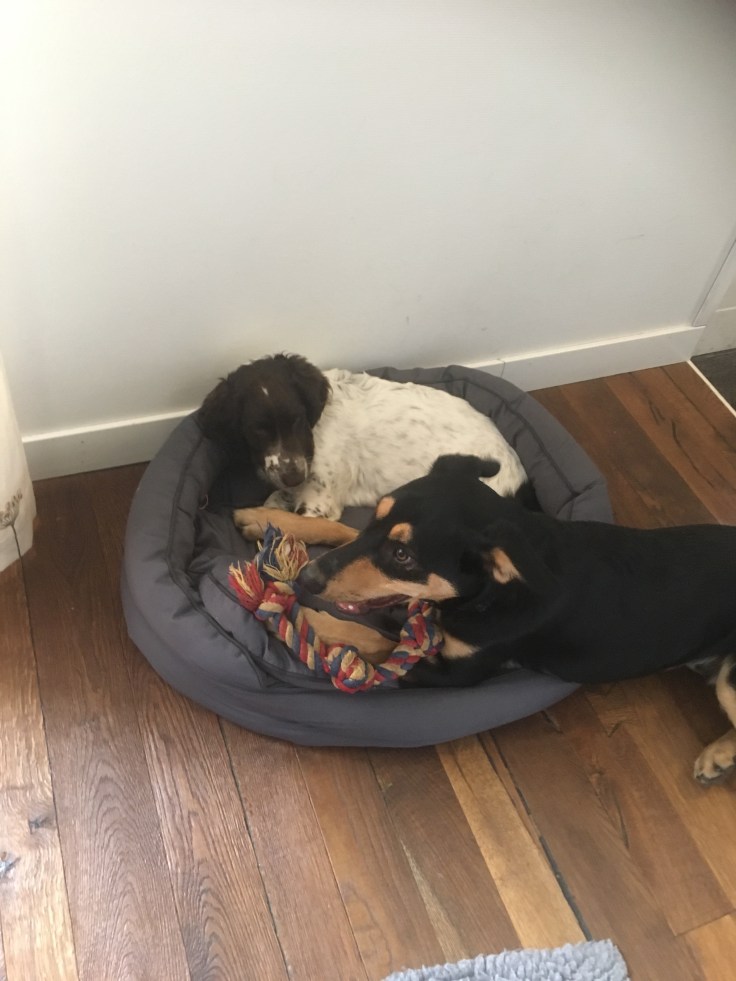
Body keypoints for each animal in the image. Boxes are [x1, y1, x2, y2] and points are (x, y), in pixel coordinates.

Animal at [242, 454, 736, 785]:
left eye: (404, 556)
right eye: (375, 518)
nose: (307, 577)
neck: (491, 590)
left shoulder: (455, 672)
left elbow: (375, 639)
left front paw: (308, 620)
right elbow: (342, 532)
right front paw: (264, 518)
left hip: (731, 680)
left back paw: (718, 757)